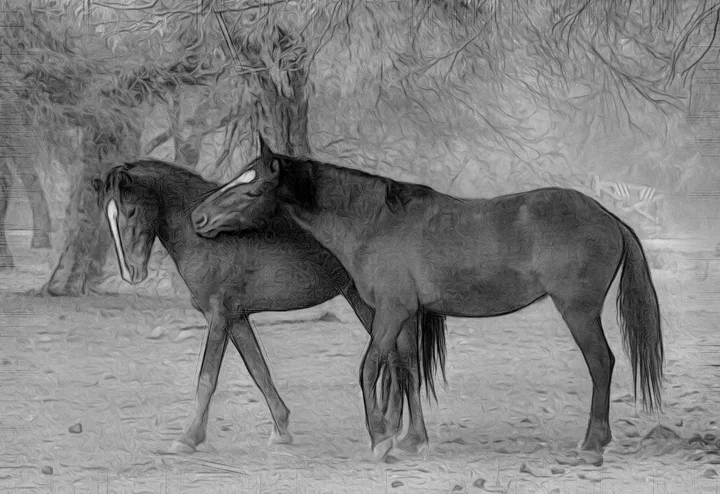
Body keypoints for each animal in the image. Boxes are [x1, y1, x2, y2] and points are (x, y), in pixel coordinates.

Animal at [91, 159, 447, 454]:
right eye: (108, 217)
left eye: (131, 211)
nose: (131, 273)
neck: (205, 235)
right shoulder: (236, 318)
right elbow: (258, 370)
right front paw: (281, 427)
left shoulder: (218, 316)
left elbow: (207, 378)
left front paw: (188, 438)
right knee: (401, 361)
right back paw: (396, 430)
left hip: (374, 307)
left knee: (400, 361)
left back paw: (399, 434)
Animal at [191, 135, 665, 462]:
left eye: (252, 190)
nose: (199, 217)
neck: (375, 222)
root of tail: (608, 217)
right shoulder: (407, 316)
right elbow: (408, 372)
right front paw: (412, 439)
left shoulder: (391, 312)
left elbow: (369, 369)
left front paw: (380, 438)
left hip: (579, 312)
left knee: (601, 363)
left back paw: (593, 443)